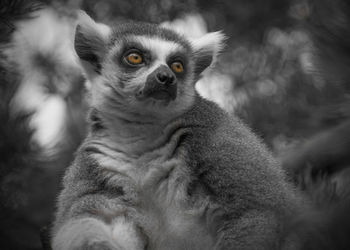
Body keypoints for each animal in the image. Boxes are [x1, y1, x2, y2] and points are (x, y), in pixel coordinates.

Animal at [50, 11, 302, 250]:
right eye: (135, 57)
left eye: (177, 65)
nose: (166, 77)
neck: (141, 134)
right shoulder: (95, 161)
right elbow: (93, 217)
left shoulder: (213, 135)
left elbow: (256, 209)